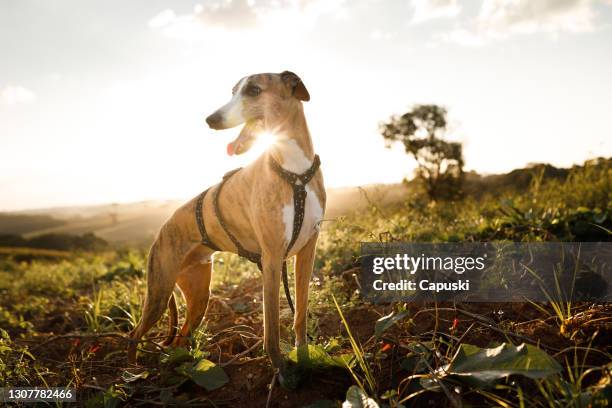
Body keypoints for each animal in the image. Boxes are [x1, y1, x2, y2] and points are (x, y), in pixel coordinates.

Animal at [128, 71, 326, 376]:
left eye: (254, 90)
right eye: (233, 91)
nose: (210, 120)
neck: (295, 173)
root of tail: (162, 229)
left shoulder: (307, 250)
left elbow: (300, 314)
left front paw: (304, 359)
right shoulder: (272, 259)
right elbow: (271, 330)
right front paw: (281, 371)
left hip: (198, 296)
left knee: (181, 337)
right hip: (159, 292)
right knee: (134, 334)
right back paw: (133, 372)